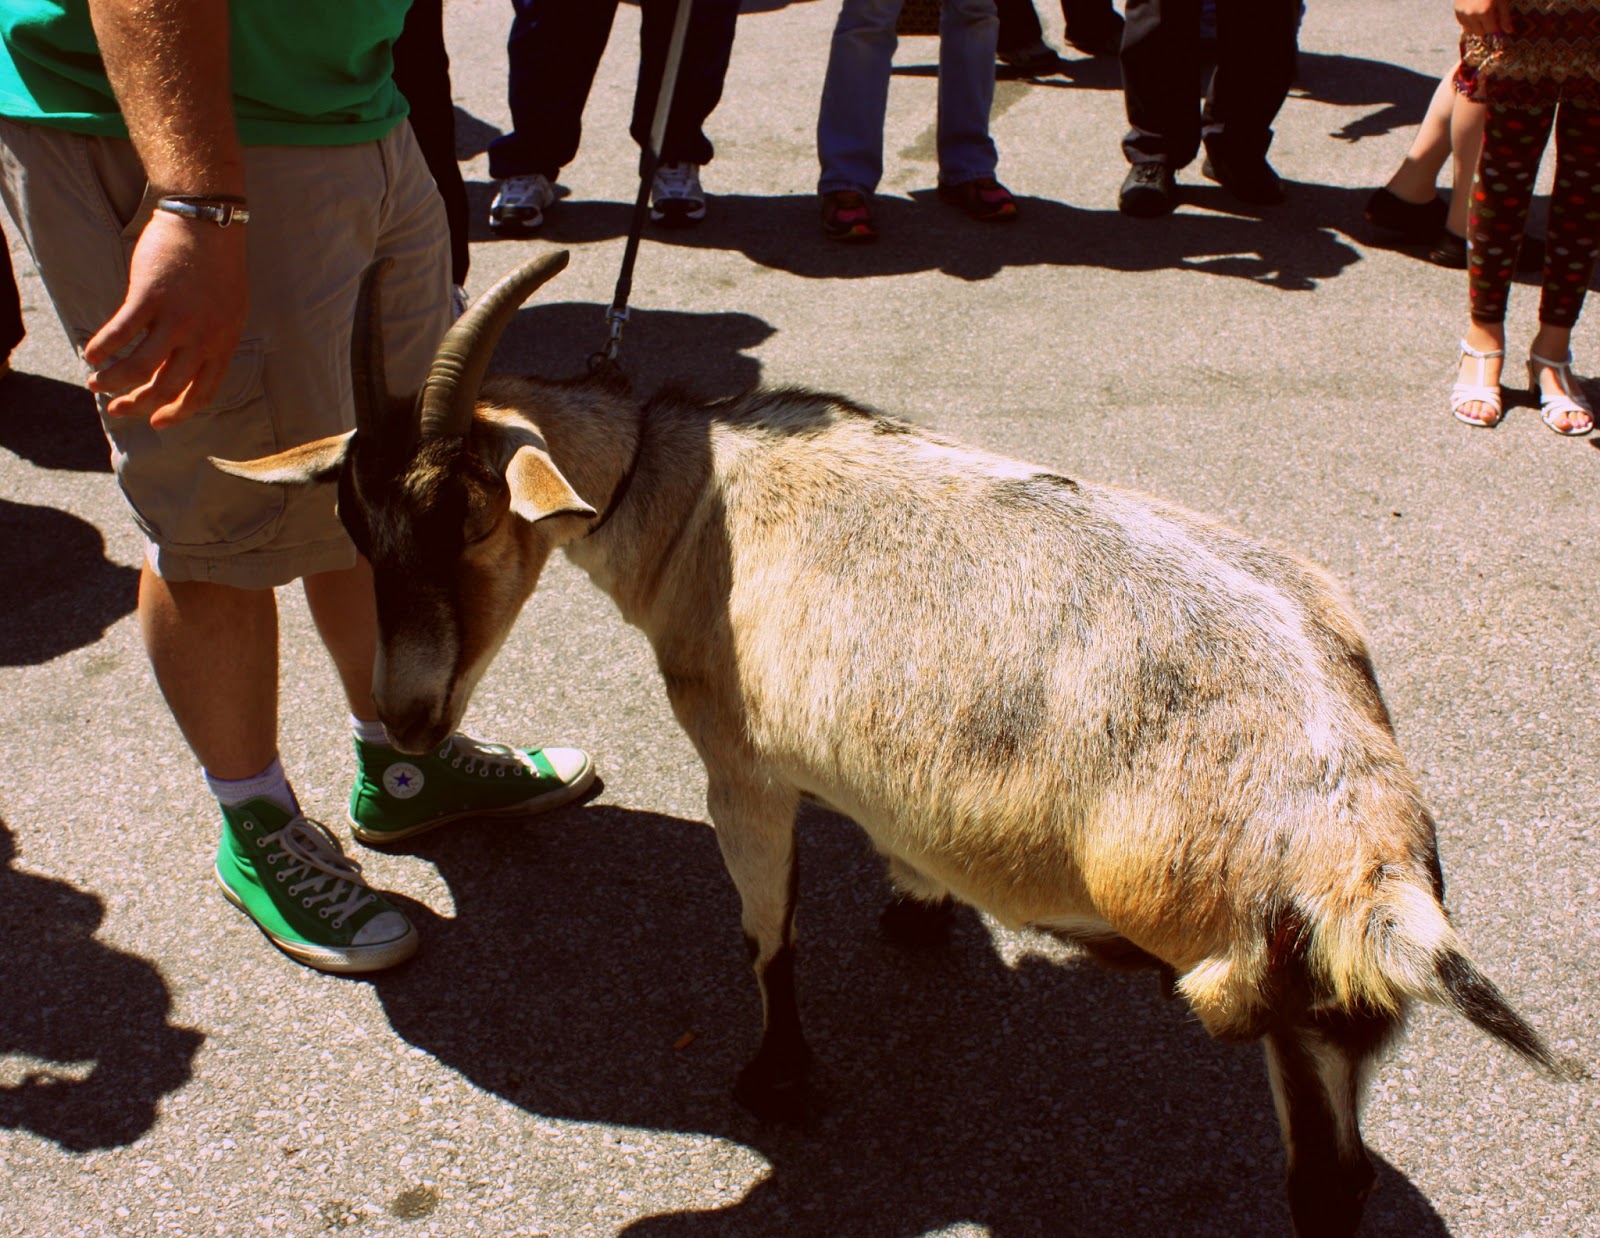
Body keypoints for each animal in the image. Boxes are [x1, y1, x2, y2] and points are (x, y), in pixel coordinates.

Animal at [214, 251, 1581, 1238]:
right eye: (353, 522)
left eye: (469, 513)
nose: (408, 717)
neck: (692, 492)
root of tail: (1366, 857)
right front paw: (917, 909)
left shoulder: (741, 763)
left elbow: (767, 929)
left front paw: (778, 1079)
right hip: (1325, 1004)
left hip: (1253, 966)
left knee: (1321, 1177)